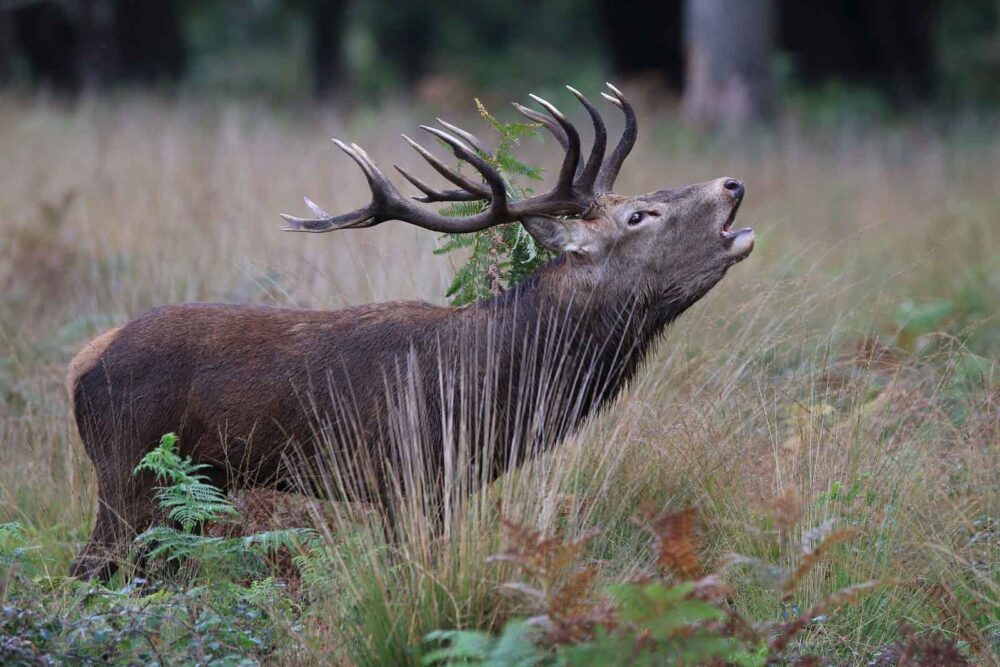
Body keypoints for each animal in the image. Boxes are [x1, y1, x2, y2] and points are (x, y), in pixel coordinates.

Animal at [68, 86, 752, 580]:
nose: (732, 182)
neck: (493, 387)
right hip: (126, 466)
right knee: (90, 568)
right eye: (640, 215)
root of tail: (80, 363)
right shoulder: (409, 477)